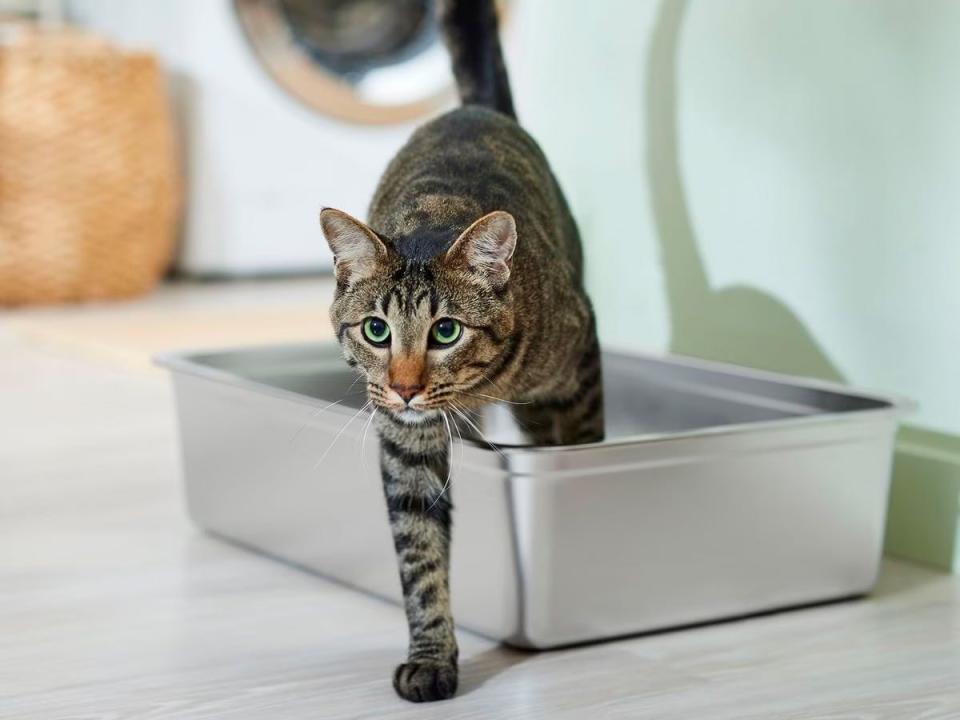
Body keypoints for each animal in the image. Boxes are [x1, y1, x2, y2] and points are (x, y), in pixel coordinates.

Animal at [322, 0, 608, 700]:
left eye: (445, 331)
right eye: (376, 330)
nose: (404, 386)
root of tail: (476, 110)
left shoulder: (580, 353)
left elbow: (585, 446)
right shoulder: (406, 445)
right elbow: (420, 557)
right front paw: (432, 658)